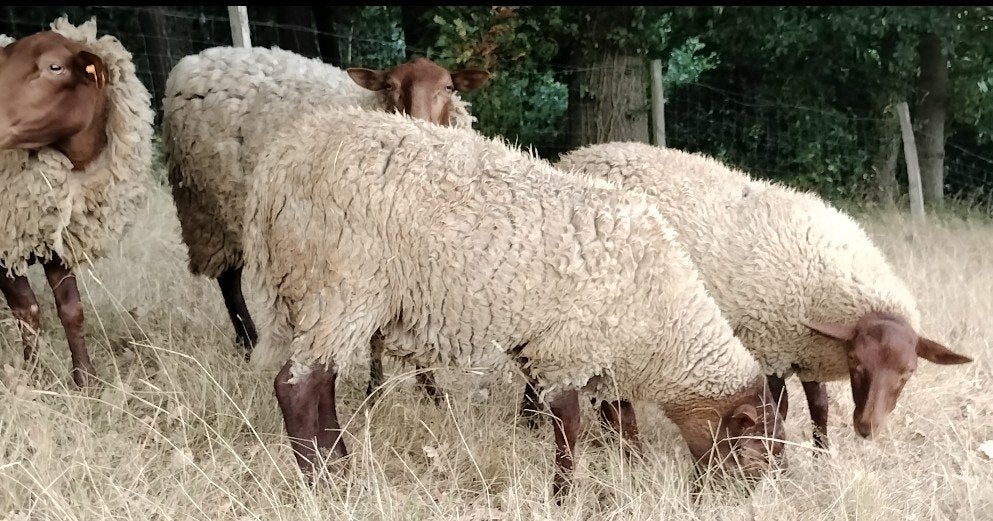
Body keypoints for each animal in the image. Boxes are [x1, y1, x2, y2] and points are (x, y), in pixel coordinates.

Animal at [0, 18, 154, 387]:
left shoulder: (59, 236)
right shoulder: (7, 243)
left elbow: (72, 309)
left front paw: (86, 379)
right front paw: (34, 376)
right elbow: (27, 311)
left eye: (55, 67)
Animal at [161, 45, 489, 399]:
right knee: (229, 280)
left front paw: (429, 388)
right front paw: (376, 389)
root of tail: (196, 60)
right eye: (390, 86)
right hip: (210, 208)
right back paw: (248, 341)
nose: (418, 125)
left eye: (449, 87)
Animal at [242, 105, 787, 499]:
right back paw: (323, 483)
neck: (664, 319)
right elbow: (570, 427)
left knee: (322, 383)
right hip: (341, 285)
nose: (745, 501)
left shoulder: (587, 350)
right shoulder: (569, 347)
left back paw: (339, 466)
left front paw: (628, 469)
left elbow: (620, 421)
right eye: (755, 454)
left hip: (328, 298)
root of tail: (280, 161)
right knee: (295, 389)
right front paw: (564, 494)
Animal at [550, 141, 973, 450]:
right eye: (856, 362)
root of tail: (577, 155)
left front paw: (823, 456)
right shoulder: (770, 346)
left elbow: (820, 408)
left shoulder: (804, 348)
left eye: (908, 372)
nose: (867, 428)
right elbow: (781, 407)